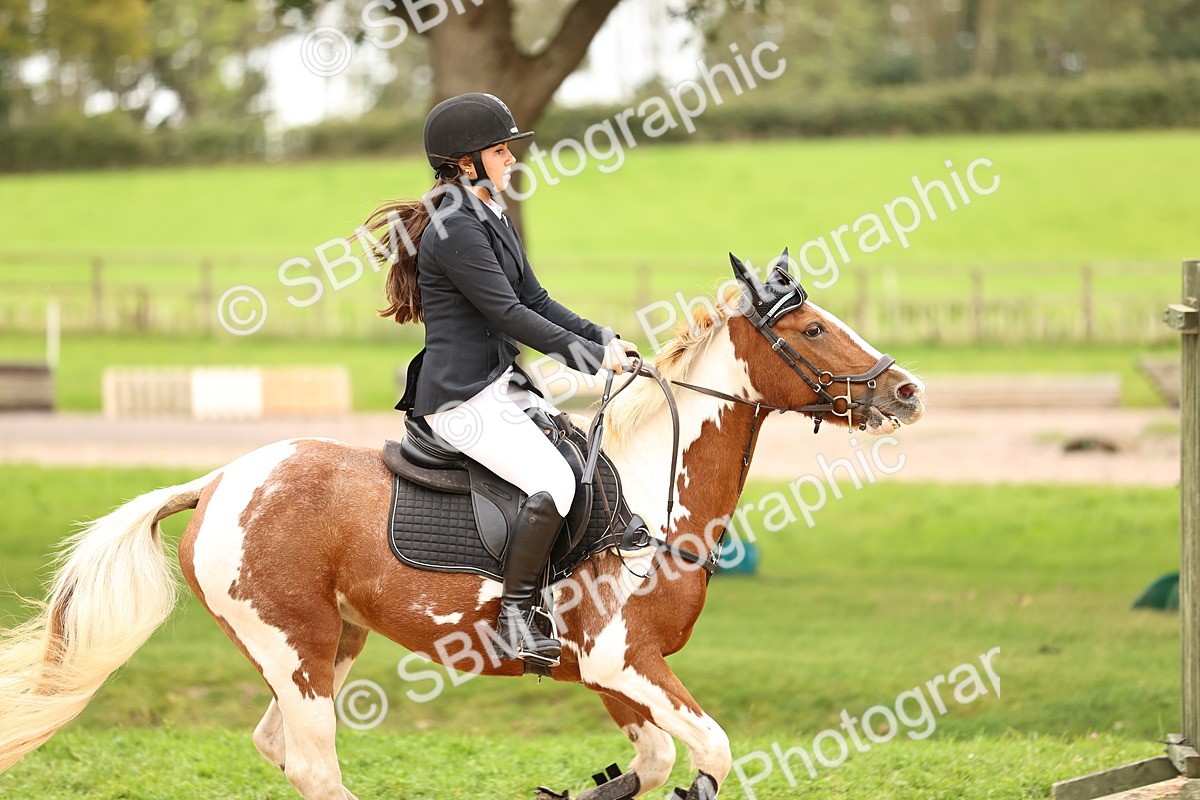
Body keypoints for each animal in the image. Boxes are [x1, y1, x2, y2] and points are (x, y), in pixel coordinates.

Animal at [0, 252, 925, 799]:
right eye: (814, 328)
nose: (907, 390)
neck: (649, 499)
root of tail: (220, 480)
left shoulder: (611, 673)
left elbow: (655, 762)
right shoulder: (625, 661)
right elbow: (713, 754)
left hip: (330, 645)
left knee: (280, 748)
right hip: (294, 647)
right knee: (314, 762)